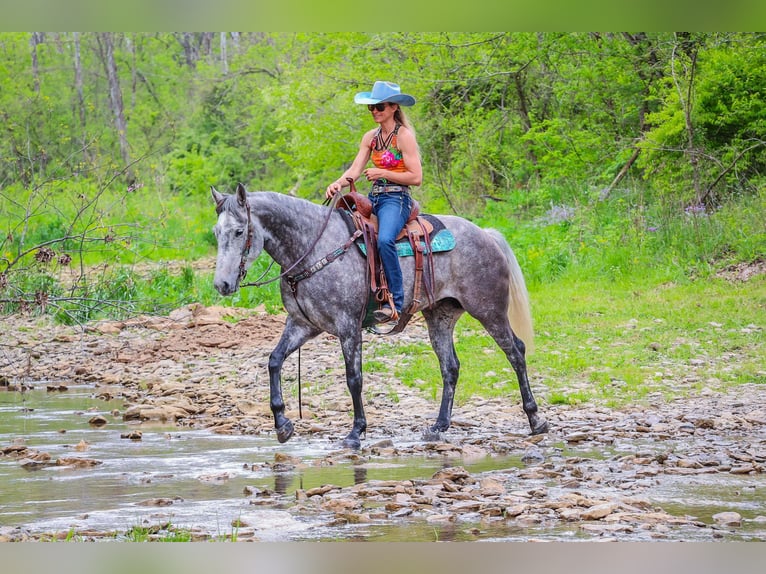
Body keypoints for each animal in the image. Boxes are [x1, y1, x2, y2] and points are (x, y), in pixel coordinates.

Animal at [210, 184, 544, 450]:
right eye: (216, 233)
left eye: (239, 232)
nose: (222, 285)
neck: (312, 247)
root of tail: (485, 235)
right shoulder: (303, 325)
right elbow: (274, 361)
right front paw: (282, 424)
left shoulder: (348, 327)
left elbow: (353, 378)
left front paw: (356, 432)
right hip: (440, 315)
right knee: (450, 367)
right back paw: (438, 427)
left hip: (489, 310)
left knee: (516, 352)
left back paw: (535, 419)